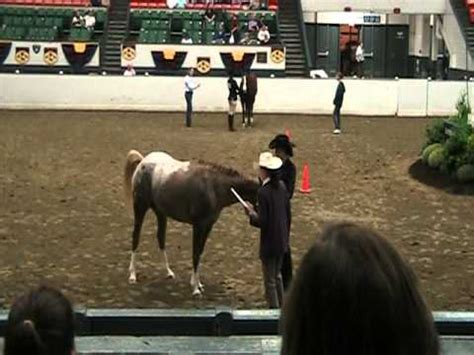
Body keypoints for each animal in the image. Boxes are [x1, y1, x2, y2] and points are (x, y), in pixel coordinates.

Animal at [123, 151, 260, 298]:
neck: (213, 187)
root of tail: (143, 161)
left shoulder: (208, 226)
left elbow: (199, 253)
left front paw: (198, 284)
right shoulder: (198, 226)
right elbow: (195, 254)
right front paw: (195, 289)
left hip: (161, 213)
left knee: (161, 238)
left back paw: (169, 272)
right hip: (140, 208)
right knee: (135, 237)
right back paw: (132, 275)